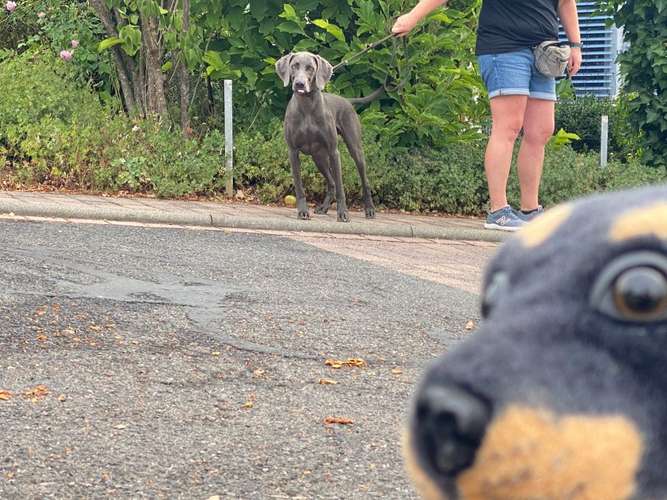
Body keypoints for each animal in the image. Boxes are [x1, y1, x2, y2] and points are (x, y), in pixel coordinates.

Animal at [272, 51, 376, 222]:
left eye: (310, 68)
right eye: (294, 66)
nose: (299, 84)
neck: (307, 107)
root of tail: (347, 100)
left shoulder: (334, 152)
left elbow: (341, 188)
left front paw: (343, 213)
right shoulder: (293, 152)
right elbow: (299, 187)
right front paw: (303, 212)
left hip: (355, 149)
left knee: (363, 181)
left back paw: (370, 209)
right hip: (318, 157)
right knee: (331, 182)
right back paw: (324, 207)